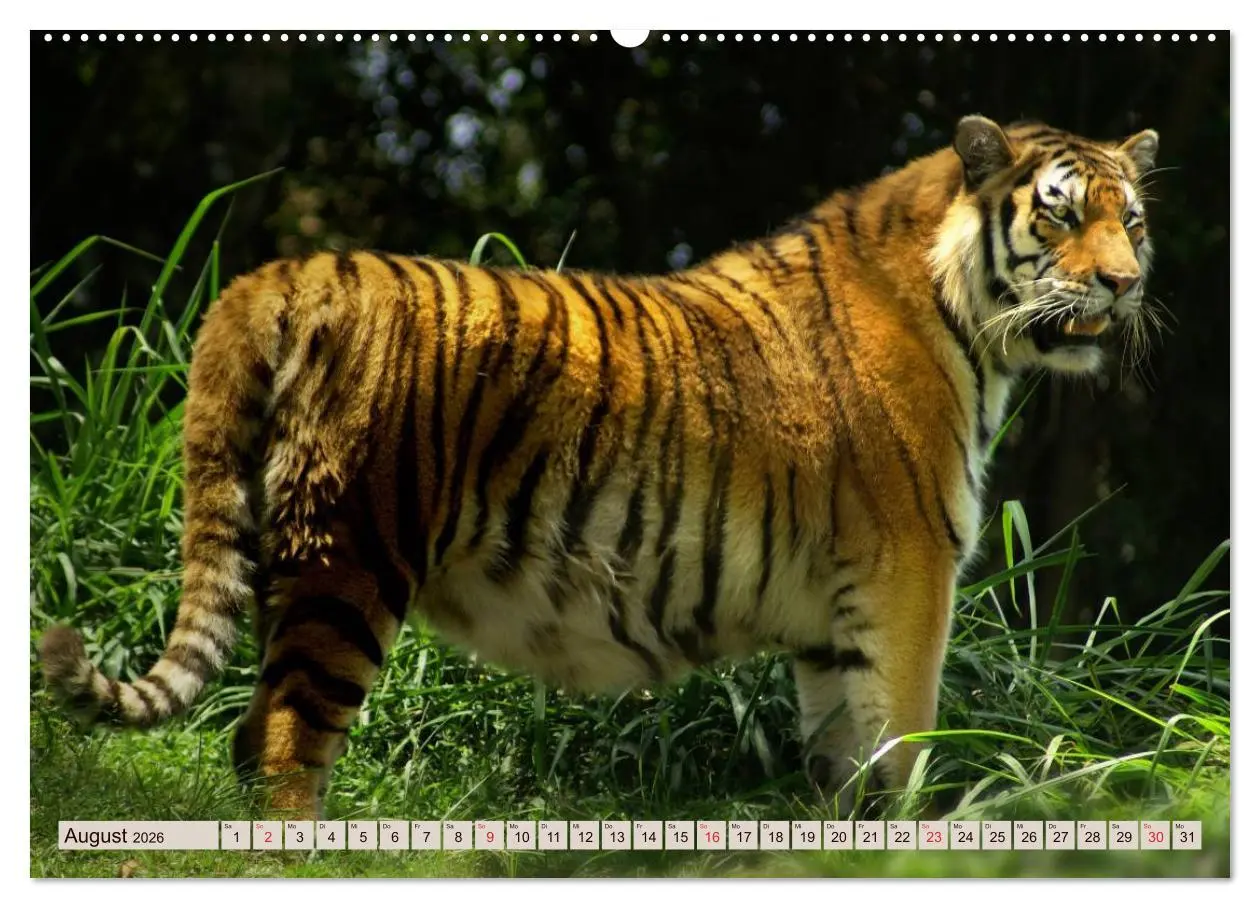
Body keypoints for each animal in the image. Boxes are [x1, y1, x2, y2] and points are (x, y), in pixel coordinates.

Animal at [39, 115, 1160, 819]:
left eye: (1133, 218)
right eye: (1061, 213)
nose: (1126, 282)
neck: (961, 314)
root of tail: (289, 268)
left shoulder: (835, 622)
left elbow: (842, 769)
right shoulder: (911, 575)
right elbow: (904, 752)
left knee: (246, 734)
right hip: (350, 552)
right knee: (280, 740)